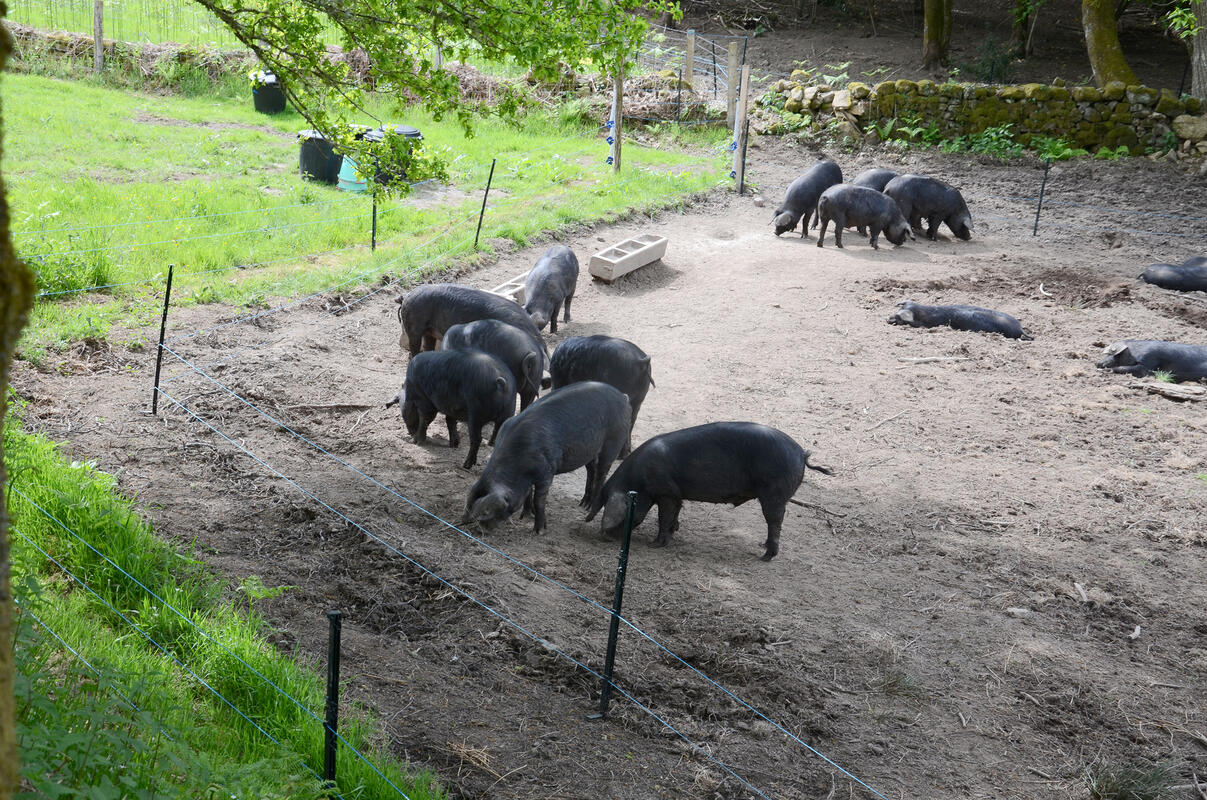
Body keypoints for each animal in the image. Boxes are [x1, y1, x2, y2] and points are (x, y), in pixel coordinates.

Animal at [388, 349, 516, 470]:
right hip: (508, 412)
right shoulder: (452, 408)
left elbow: (425, 419)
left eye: (402, 411)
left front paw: (416, 442)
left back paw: (466, 465)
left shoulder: (424, 400)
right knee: (498, 435)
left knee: (476, 439)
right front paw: (454, 444)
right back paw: (489, 447)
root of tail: (500, 381)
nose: (410, 433)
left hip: (476, 414)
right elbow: (450, 422)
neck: (410, 390)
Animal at [461, 383, 632, 538]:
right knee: (592, 470)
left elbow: (539, 500)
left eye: (488, 512)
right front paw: (526, 516)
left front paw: (540, 531)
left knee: (602, 473)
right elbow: (528, 494)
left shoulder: (547, 471)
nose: (480, 531)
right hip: (590, 450)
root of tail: (623, 396)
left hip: (613, 442)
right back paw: (583, 504)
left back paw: (589, 508)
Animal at [584, 419, 830, 562]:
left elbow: (664, 516)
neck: (639, 480)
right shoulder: (676, 493)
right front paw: (674, 532)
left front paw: (654, 544)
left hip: (774, 493)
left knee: (775, 522)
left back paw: (764, 556)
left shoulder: (665, 492)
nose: (604, 537)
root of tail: (801, 454)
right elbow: (674, 514)